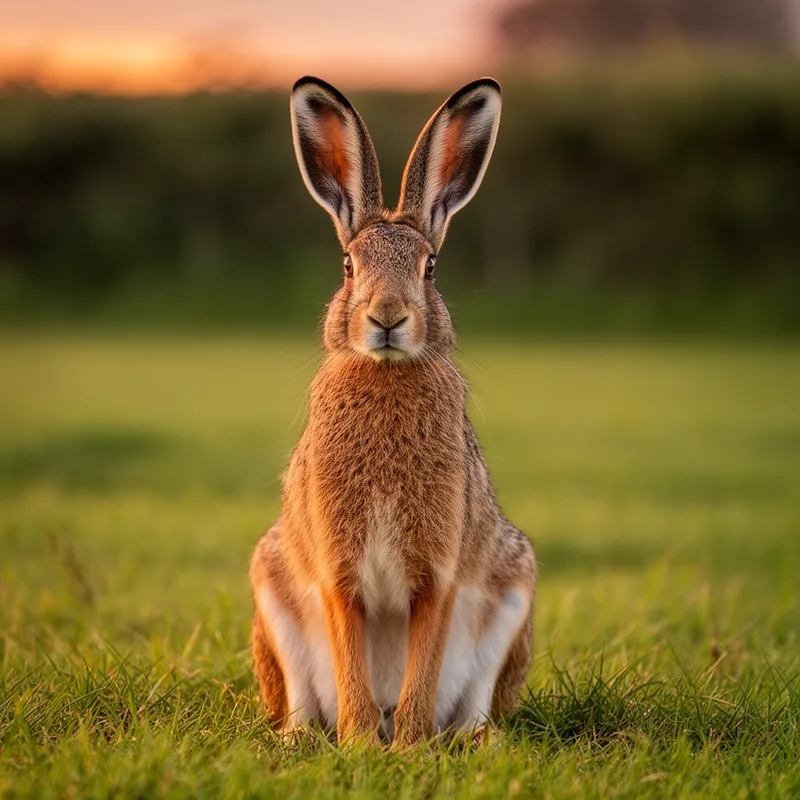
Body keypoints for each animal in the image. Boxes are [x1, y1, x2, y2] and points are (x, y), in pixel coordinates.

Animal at [249, 76, 536, 748]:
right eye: (348, 266)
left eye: (430, 267)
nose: (387, 317)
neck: (384, 375)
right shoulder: (337, 567)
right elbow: (348, 645)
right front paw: (361, 743)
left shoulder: (440, 571)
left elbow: (424, 659)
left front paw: (406, 747)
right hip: (272, 594)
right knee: (300, 701)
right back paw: (307, 737)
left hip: (514, 596)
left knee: (476, 704)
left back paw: (466, 740)